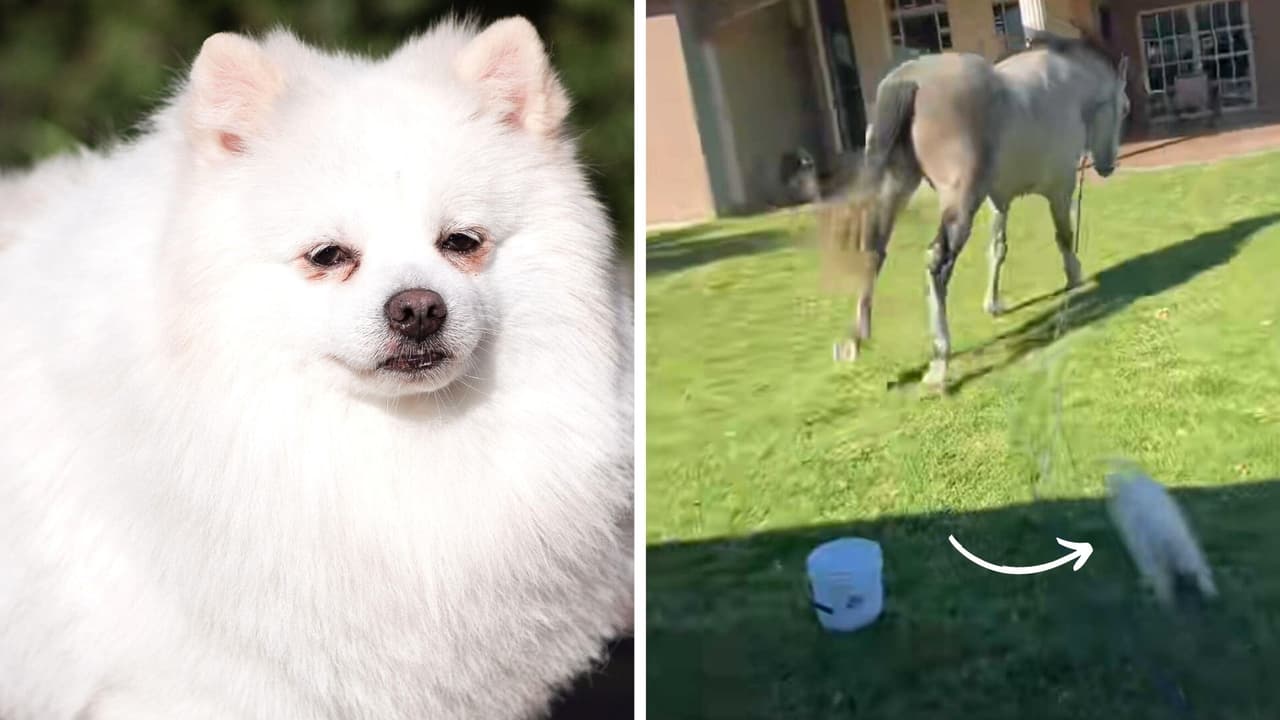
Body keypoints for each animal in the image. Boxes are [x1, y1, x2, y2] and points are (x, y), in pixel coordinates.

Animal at [825, 35, 1130, 388]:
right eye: (1124, 108)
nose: (1108, 165)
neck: (1065, 84)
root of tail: (911, 81)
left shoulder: (999, 200)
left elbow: (997, 249)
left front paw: (993, 303)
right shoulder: (1060, 186)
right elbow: (1064, 235)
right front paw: (1075, 276)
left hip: (894, 188)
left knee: (873, 250)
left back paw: (855, 340)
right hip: (960, 202)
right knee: (937, 262)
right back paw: (940, 360)